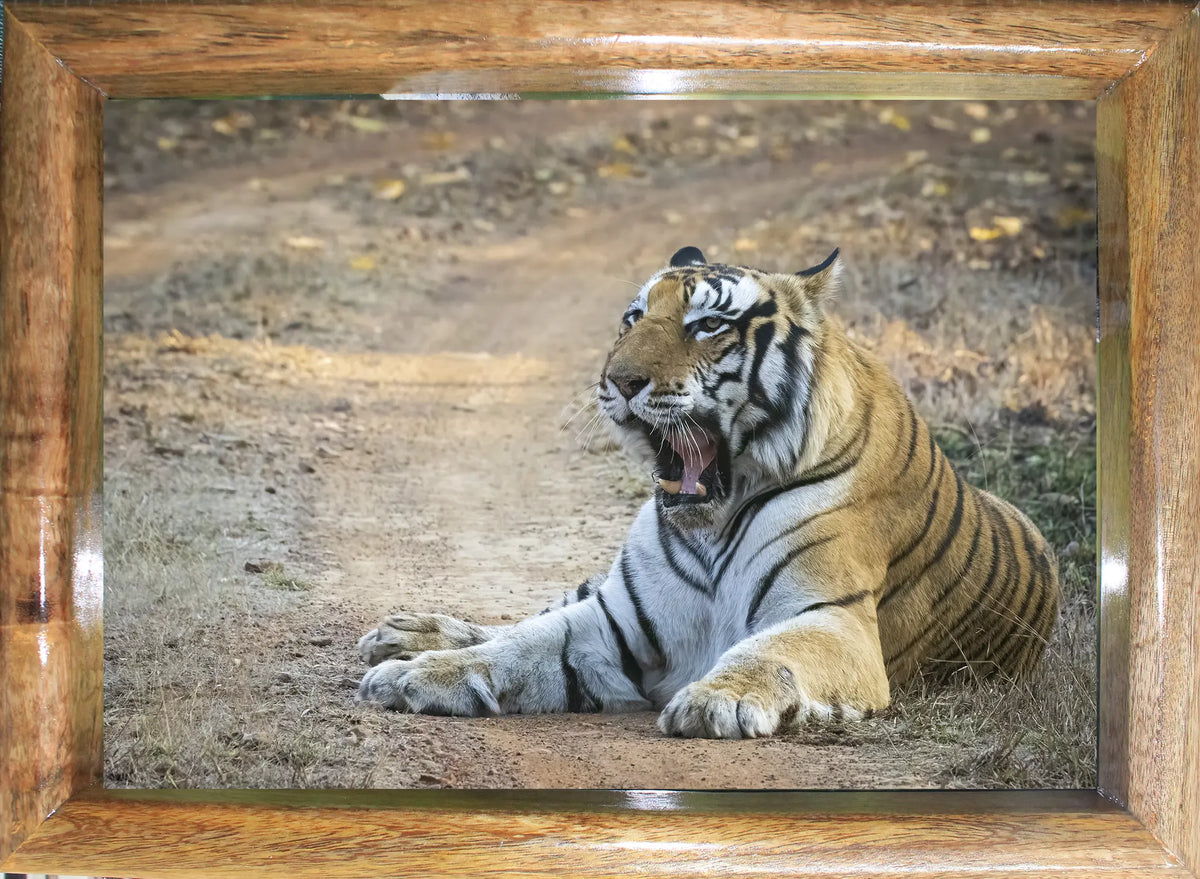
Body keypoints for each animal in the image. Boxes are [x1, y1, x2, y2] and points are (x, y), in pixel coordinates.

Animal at [357, 246, 1059, 739]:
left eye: (707, 325)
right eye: (634, 318)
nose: (618, 381)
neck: (713, 522)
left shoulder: (834, 621)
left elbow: (773, 652)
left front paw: (721, 697)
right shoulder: (616, 618)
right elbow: (524, 643)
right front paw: (417, 672)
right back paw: (405, 634)